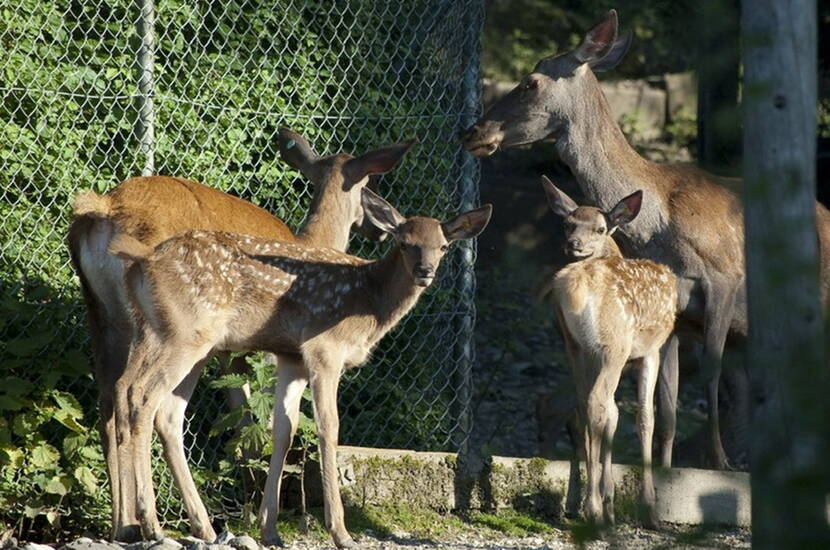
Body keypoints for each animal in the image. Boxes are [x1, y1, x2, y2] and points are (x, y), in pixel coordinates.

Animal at [66, 128, 414, 544]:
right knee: (141, 399)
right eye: (369, 185)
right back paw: (155, 522)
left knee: (112, 397)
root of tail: (102, 209)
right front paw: (259, 515)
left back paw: (126, 524)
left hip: (104, 319)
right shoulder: (258, 352)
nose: (386, 221)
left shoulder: (238, 352)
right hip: (163, 329)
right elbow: (257, 425)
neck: (313, 241)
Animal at [105, 189, 494, 548]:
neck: (370, 303)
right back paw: (152, 525)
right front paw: (340, 531)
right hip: (186, 334)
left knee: (153, 403)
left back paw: (195, 527)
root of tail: (145, 259)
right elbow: (328, 427)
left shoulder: (291, 357)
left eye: (442, 246)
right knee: (143, 397)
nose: (425, 272)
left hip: (163, 334)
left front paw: (270, 529)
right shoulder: (324, 349)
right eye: (405, 242)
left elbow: (284, 429)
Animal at [462, 8, 830, 472]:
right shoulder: (675, 315)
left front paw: (718, 463)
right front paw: (670, 466)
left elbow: (706, 378)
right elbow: (666, 401)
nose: (473, 132)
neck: (657, 224)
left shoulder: (724, 277)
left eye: (531, 82)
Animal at [544, 178, 680, 532]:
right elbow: (644, 418)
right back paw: (593, 508)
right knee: (597, 404)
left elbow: (616, 416)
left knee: (585, 406)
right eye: (568, 224)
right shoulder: (650, 351)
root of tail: (576, 287)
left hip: (575, 346)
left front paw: (611, 502)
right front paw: (648, 508)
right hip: (614, 344)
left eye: (600, 228)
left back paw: (590, 506)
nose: (574, 244)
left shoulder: (591, 352)